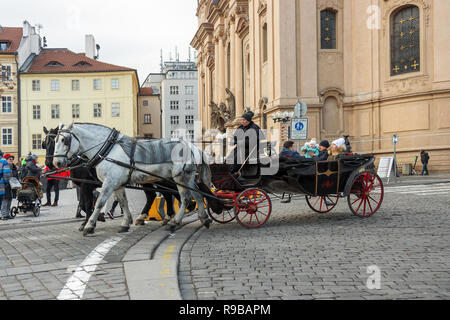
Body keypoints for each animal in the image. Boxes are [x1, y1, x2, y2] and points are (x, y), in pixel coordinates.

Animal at [52, 124, 218, 236]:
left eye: (64, 140)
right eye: (54, 141)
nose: (56, 163)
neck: (109, 149)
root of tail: (192, 147)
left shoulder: (108, 183)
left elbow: (98, 203)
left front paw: (89, 226)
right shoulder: (117, 184)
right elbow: (123, 202)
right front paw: (125, 223)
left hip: (180, 177)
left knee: (185, 199)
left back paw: (173, 222)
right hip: (186, 178)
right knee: (197, 195)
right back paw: (204, 219)